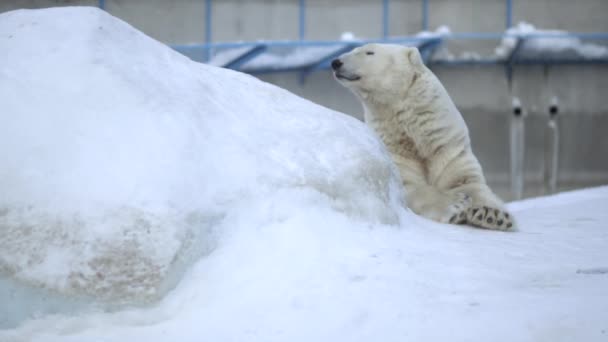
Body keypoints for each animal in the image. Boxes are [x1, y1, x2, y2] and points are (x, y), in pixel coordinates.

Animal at [332, 43, 512, 230]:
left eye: (369, 52)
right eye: (354, 50)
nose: (336, 62)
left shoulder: (448, 147)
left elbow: (468, 182)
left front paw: (492, 214)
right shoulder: (395, 152)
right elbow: (411, 187)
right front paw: (456, 204)